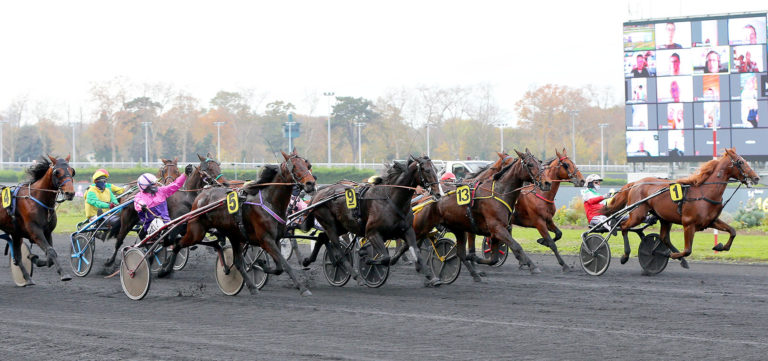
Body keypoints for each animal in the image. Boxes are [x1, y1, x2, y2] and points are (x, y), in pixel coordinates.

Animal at [0, 155, 76, 284]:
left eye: (72, 171)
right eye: (57, 172)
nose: (69, 193)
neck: (38, 199)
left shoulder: (47, 232)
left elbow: (50, 255)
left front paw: (34, 259)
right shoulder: (35, 231)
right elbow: (51, 251)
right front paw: (64, 274)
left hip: (15, 234)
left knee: (17, 258)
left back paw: (28, 279)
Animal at [164, 150, 316, 294]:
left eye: (307, 165)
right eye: (294, 166)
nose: (311, 183)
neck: (269, 201)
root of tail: (201, 195)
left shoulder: (276, 239)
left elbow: (279, 267)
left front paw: (261, 265)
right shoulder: (266, 239)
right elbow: (286, 265)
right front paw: (303, 288)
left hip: (234, 235)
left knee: (236, 262)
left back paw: (251, 287)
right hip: (196, 232)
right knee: (177, 244)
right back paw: (164, 270)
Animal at [302, 156, 444, 286]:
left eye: (436, 170)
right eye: (426, 170)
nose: (438, 194)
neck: (391, 200)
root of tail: (319, 194)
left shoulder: (408, 231)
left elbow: (417, 253)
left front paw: (431, 276)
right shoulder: (372, 233)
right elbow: (385, 258)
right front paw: (366, 258)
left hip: (341, 226)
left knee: (322, 237)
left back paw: (308, 260)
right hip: (330, 224)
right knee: (338, 250)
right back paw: (355, 276)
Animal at [414, 149, 552, 282]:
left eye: (540, 162)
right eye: (530, 164)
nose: (547, 183)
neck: (498, 192)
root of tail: (428, 195)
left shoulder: (495, 232)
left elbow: (493, 259)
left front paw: (475, 259)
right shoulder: (497, 228)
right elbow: (516, 246)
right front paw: (533, 267)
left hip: (453, 228)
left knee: (455, 252)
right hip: (424, 224)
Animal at [604, 147, 760, 262]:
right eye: (740, 162)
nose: (756, 178)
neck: (705, 192)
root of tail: (636, 183)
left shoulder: (711, 221)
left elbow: (732, 231)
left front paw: (721, 246)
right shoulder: (688, 224)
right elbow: (687, 250)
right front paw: (670, 255)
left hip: (664, 218)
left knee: (664, 237)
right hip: (638, 214)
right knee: (623, 226)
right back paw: (625, 255)